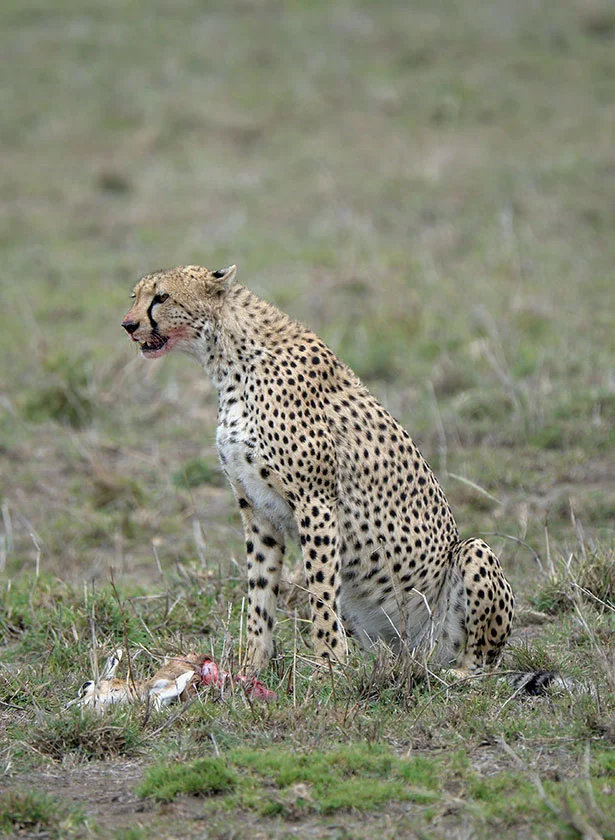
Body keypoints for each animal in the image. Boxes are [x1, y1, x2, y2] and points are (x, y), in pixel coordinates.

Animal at [122, 264, 515, 678]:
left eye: (161, 297)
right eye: (135, 296)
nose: (128, 325)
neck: (228, 359)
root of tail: (412, 652)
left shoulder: (316, 502)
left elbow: (320, 591)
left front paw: (329, 664)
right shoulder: (256, 509)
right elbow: (260, 594)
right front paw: (252, 666)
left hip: (473, 555)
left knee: (480, 658)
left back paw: (458, 674)